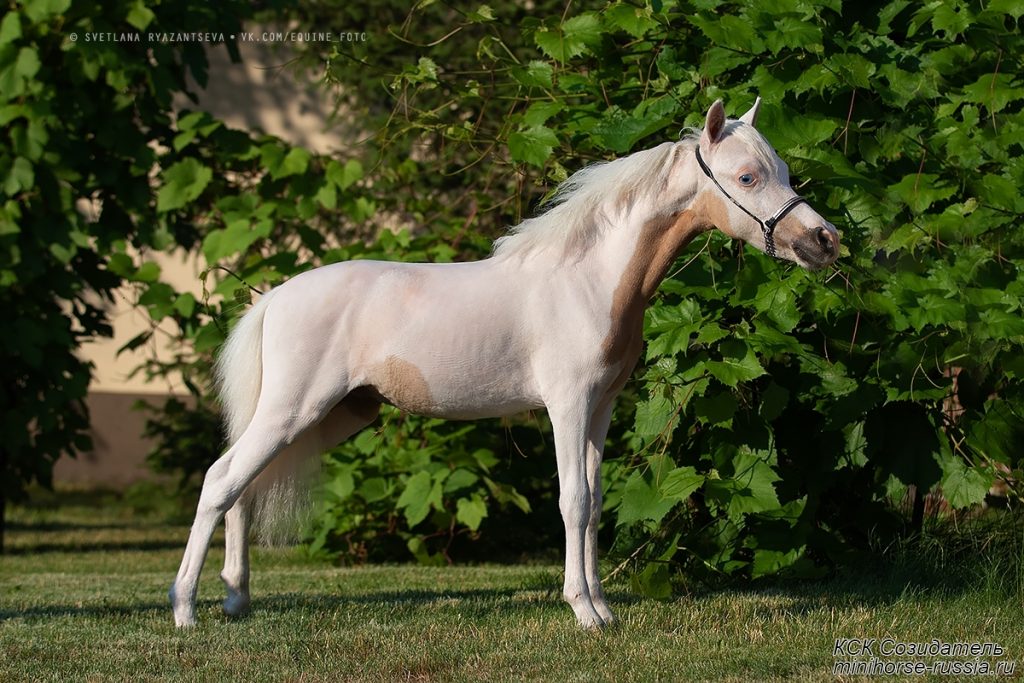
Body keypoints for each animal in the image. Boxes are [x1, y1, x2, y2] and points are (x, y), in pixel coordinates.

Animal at [169, 97, 839, 630]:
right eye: (748, 177)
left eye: (781, 170)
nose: (824, 241)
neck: (588, 279)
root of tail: (273, 297)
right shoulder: (566, 405)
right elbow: (572, 500)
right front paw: (583, 612)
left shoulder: (600, 410)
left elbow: (595, 501)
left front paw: (604, 607)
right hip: (294, 409)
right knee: (220, 481)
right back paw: (185, 611)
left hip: (331, 416)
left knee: (244, 489)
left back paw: (236, 602)